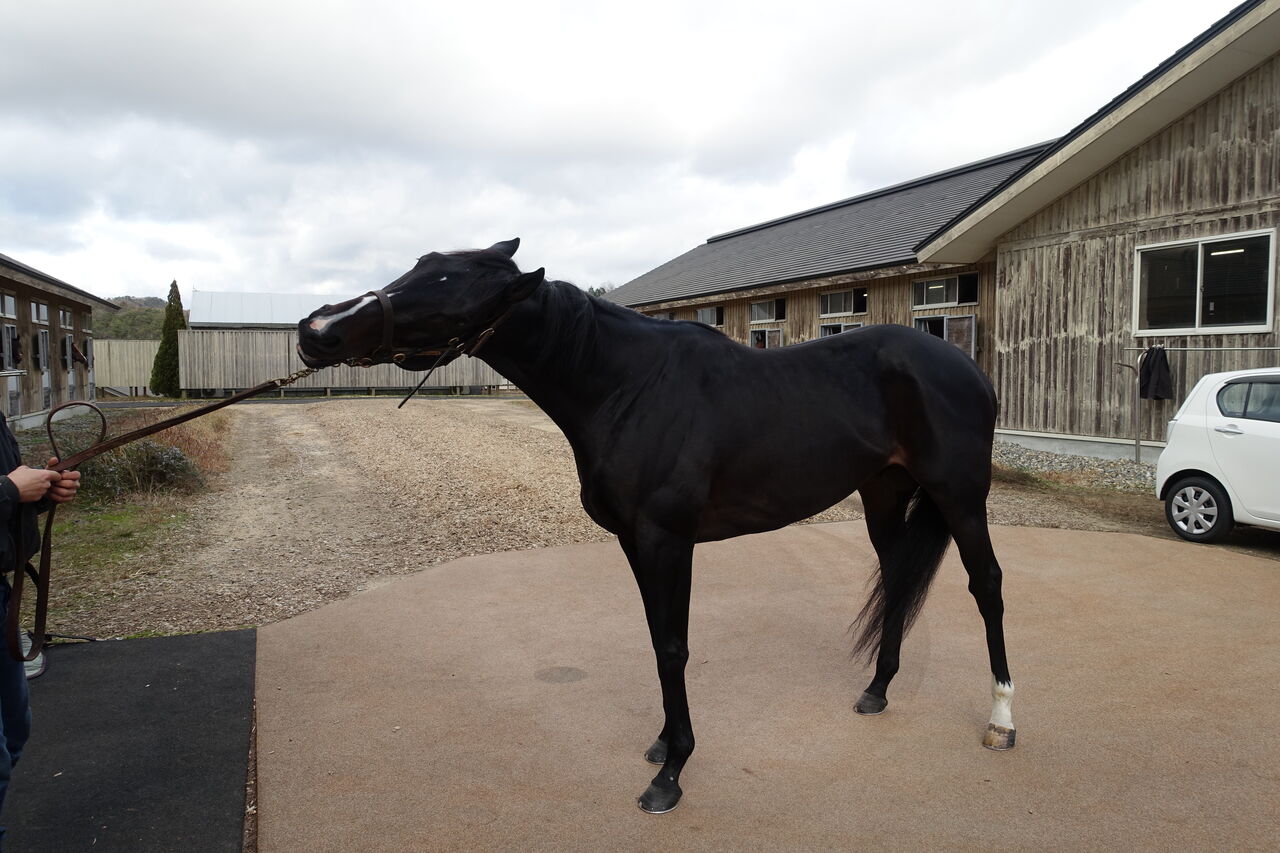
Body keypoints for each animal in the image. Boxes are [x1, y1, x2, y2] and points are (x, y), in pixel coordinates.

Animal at [294, 236, 1013, 809]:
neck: (629, 387)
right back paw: (877, 690)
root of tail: (966, 366)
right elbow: (656, 639)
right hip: (883, 491)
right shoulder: (636, 543)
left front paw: (672, 773)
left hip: (959, 494)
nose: (316, 329)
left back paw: (1003, 720)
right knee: (896, 580)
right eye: (420, 266)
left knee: (987, 586)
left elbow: (673, 646)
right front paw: (665, 743)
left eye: (449, 288)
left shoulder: (668, 539)